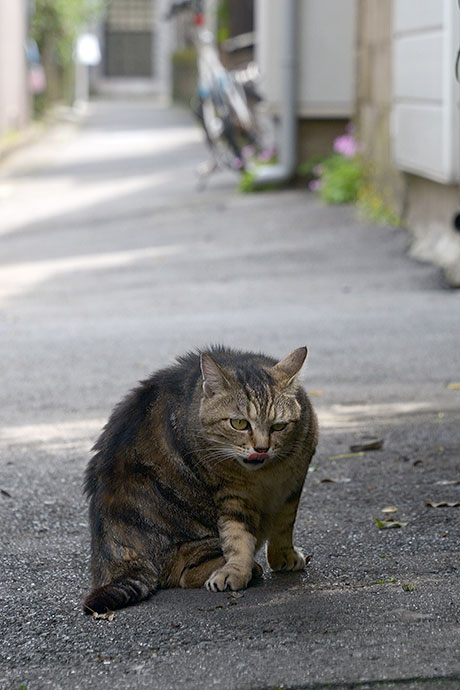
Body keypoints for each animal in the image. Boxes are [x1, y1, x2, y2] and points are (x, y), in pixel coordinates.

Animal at [82, 344, 318, 612]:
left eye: (278, 426)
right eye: (239, 423)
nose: (261, 448)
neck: (266, 475)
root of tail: (112, 554)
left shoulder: (294, 484)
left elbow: (284, 525)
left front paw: (283, 556)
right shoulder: (231, 493)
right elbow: (237, 536)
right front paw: (236, 570)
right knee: (185, 572)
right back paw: (247, 568)